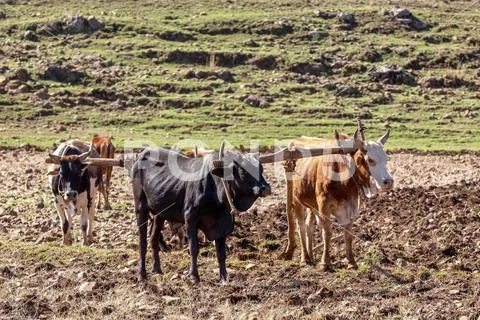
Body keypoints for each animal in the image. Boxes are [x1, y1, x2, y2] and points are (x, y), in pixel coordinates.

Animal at [282, 129, 394, 268]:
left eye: (386, 159)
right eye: (370, 160)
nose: (389, 182)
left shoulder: (350, 207)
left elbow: (348, 234)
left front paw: (351, 262)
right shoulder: (323, 206)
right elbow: (327, 233)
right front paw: (325, 262)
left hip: (311, 204)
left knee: (309, 225)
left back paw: (311, 255)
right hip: (296, 199)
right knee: (301, 226)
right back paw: (305, 257)